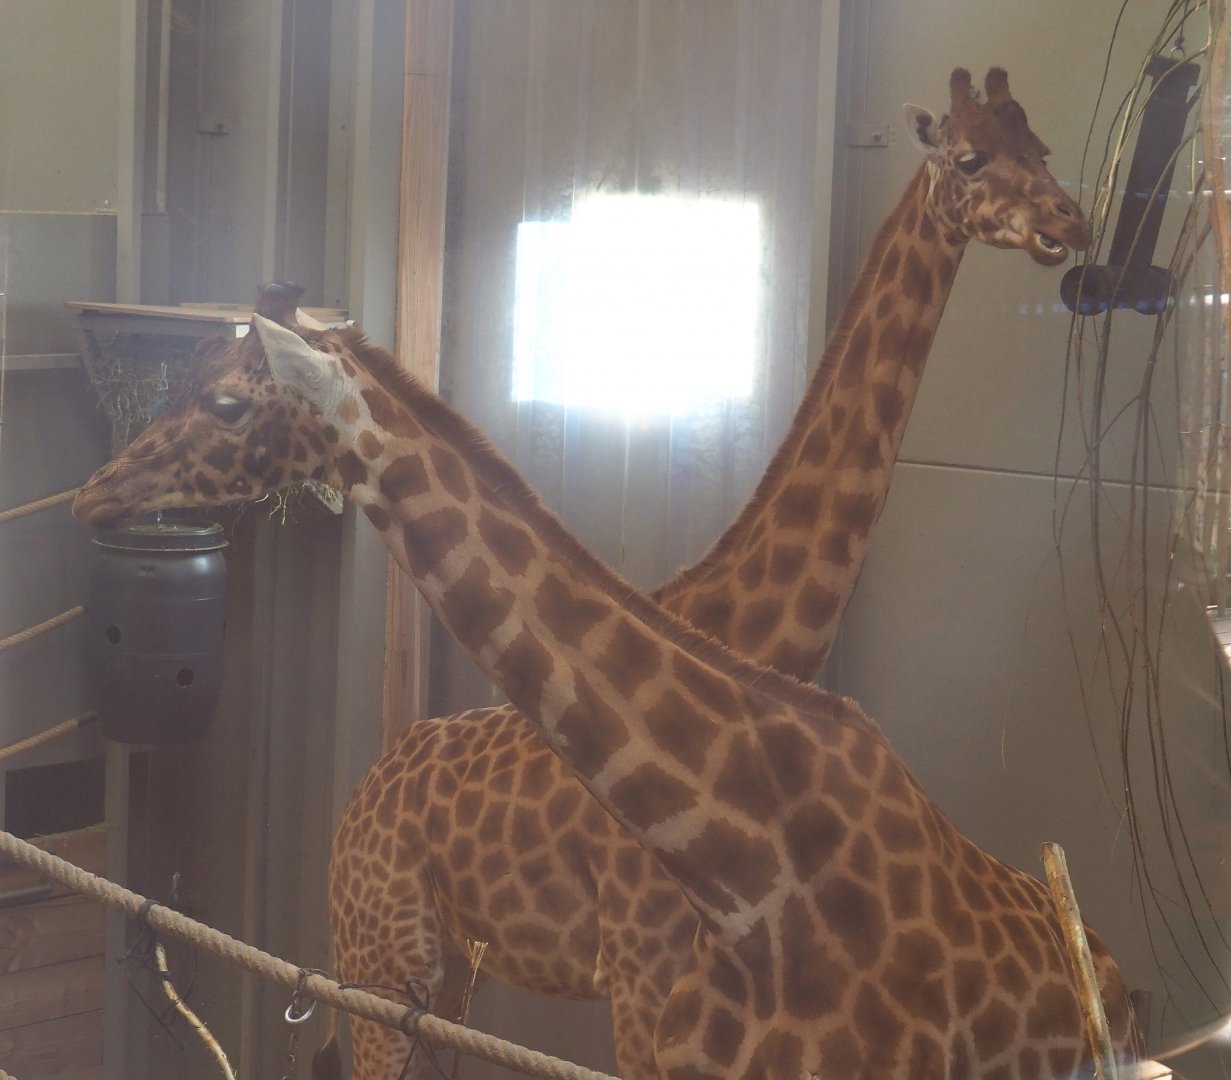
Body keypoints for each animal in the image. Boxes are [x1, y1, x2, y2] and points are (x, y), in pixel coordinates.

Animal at [73, 243, 1139, 1080]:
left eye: (225, 402)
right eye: (182, 377)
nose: (92, 494)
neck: (755, 867)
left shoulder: (652, 992)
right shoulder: (644, 994)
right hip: (390, 962)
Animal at [318, 66, 1091, 1077]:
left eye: (1040, 146)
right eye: (967, 157)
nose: (1069, 222)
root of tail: (353, 804)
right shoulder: (643, 963)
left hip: (444, 976)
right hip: (376, 961)